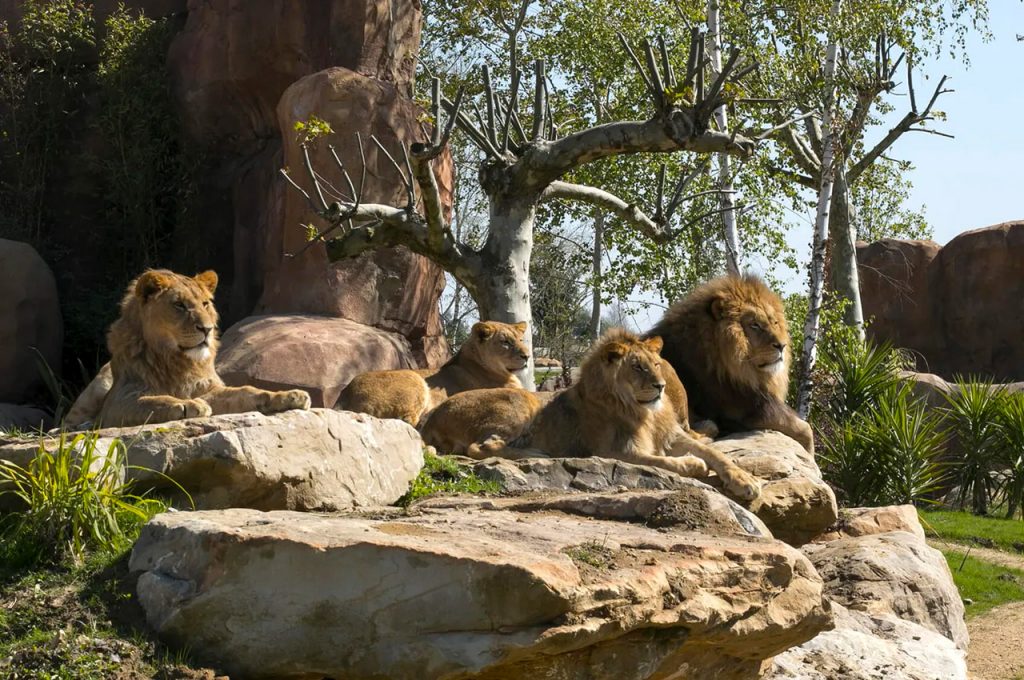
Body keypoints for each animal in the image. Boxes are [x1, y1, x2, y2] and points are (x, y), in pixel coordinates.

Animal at [64, 268, 309, 428]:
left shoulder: (208, 389)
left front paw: (288, 396)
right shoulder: (115, 404)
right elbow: (152, 401)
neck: (176, 359)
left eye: (205, 303)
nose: (207, 329)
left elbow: (246, 391)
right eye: (179, 305)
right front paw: (189, 404)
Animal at [337, 319, 528, 426]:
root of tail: (345, 394)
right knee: (408, 421)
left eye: (521, 340)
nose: (527, 356)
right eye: (505, 342)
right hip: (414, 377)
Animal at [464, 329, 761, 499]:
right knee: (478, 447)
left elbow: (716, 454)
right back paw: (536, 454)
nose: (661, 386)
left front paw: (745, 479)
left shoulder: (670, 435)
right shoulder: (613, 451)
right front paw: (692, 464)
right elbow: (662, 462)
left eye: (656, 364)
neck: (643, 412)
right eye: (637, 367)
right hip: (521, 405)